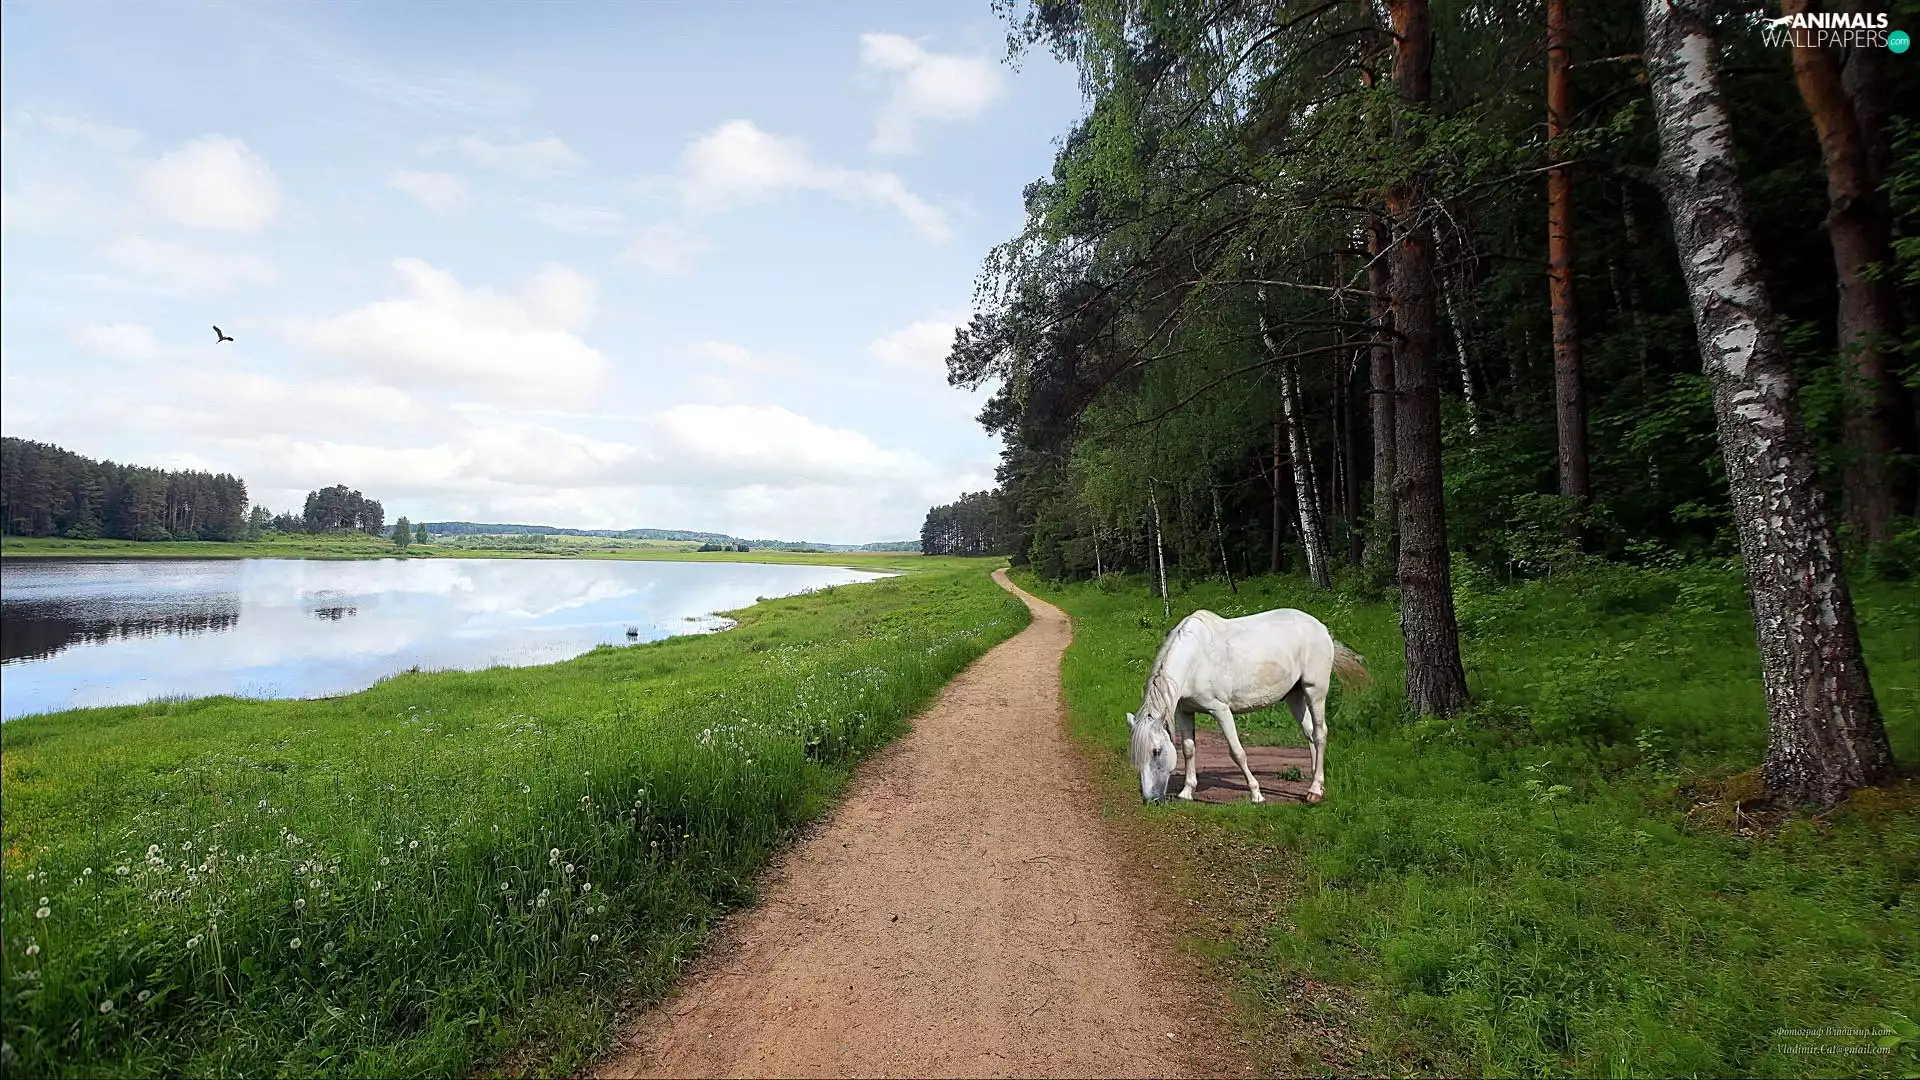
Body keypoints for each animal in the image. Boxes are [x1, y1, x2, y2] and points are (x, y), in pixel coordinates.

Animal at [1127, 608, 1369, 805]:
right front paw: (1186, 792)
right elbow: (1188, 749)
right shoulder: (1185, 711)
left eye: (1156, 752)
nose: (1151, 800)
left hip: (1315, 691)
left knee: (1320, 733)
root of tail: (1322, 628)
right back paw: (1316, 781)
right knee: (1309, 733)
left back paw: (1315, 792)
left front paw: (1256, 794)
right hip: (1296, 696)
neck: (1195, 659)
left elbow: (1237, 752)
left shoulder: (1220, 710)